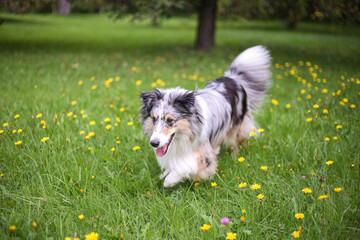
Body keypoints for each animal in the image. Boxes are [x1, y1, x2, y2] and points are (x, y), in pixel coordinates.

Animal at [139, 45, 272, 188]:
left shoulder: (204, 155)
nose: (153, 143)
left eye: (170, 120)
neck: (185, 135)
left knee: (238, 140)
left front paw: (170, 180)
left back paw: (236, 156)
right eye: (153, 119)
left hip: (236, 127)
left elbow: (187, 166)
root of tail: (231, 78)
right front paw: (165, 174)